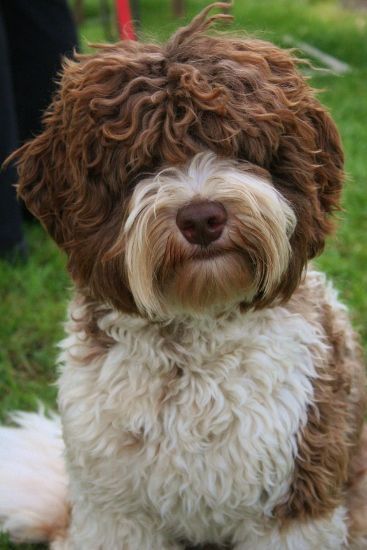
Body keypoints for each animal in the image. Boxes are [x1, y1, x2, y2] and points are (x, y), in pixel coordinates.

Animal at [0, 4, 367, 550]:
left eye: (239, 148)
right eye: (141, 164)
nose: (202, 219)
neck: (190, 340)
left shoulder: (296, 497)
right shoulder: (116, 512)